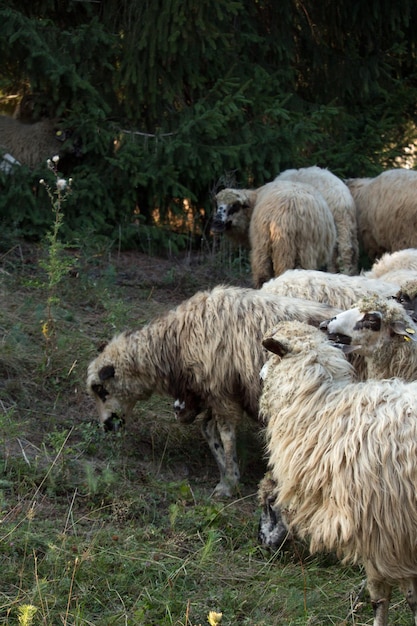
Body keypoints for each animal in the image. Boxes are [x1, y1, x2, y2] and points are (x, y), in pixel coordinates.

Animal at [86, 286, 340, 494]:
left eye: (100, 389)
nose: (107, 426)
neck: (175, 343)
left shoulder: (222, 391)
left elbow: (226, 434)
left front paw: (229, 482)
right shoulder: (211, 392)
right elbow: (208, 430)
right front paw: (226, 471)